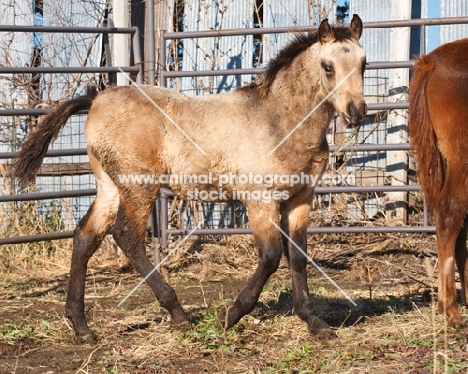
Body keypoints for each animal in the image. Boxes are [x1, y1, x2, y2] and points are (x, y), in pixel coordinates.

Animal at [13, 15, 366, 342]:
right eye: (328, 67)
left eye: (364, 62)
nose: (357, 112)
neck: (278, 122)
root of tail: (96, 100)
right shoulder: (259, 199)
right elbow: (270, 257)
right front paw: (231, 316)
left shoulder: (300, 199)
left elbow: (298, 256)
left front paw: (314, 321)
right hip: (139, 187)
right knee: (127, 236)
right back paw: (178, 313)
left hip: (110, 187)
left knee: (86, 235)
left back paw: (81, 326)